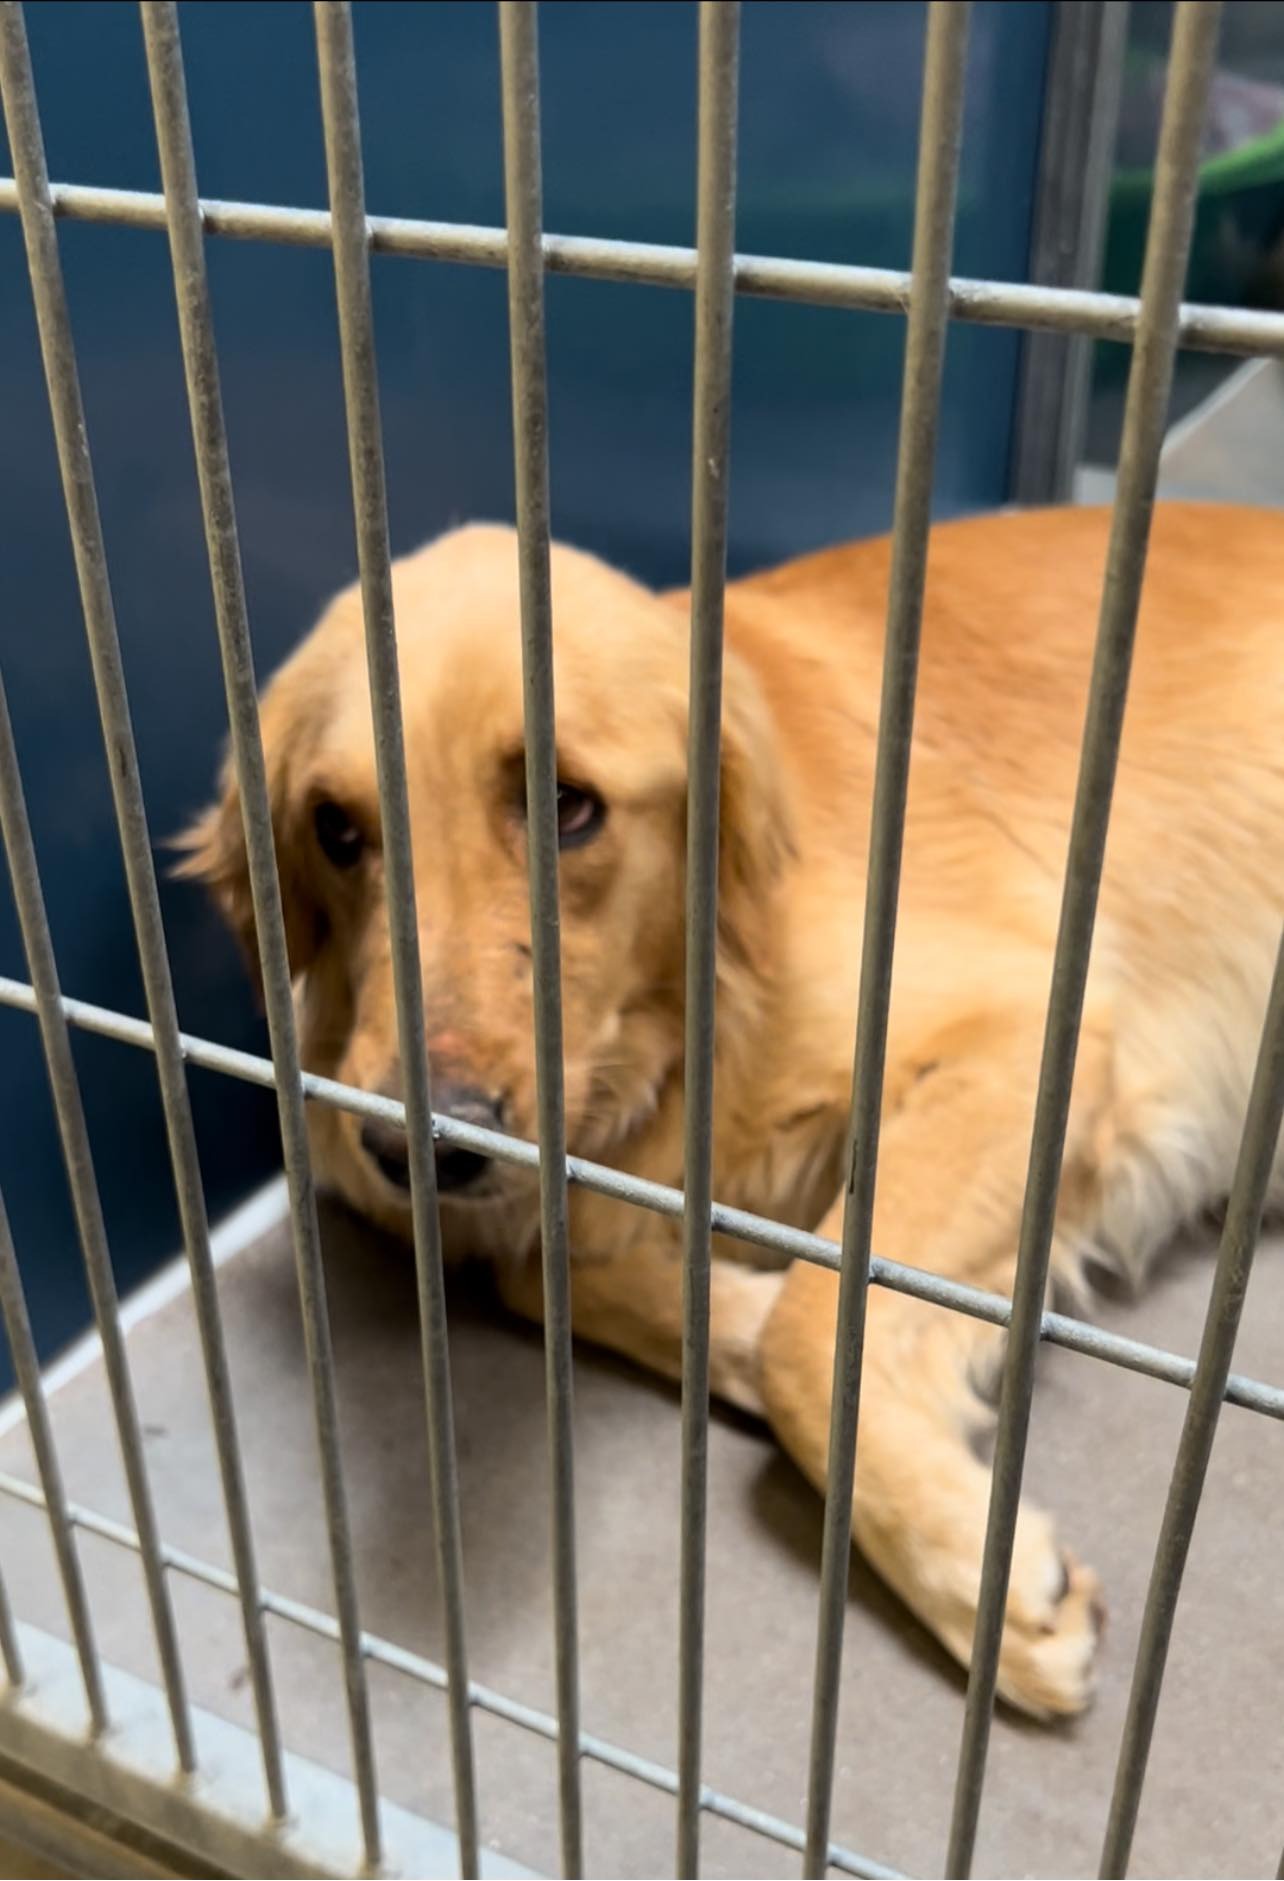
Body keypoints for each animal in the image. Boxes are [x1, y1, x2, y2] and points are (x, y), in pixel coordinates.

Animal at [178, 504, 1284, 1722]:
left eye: (567, 805)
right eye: (335, 828)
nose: (410, 1148)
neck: (666, 1047)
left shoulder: (1033, 1037)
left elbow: (814, 1321)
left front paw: (982, 1580)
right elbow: (565, 1277)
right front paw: (746, 1320)